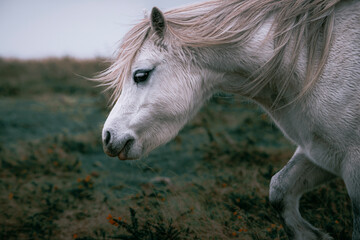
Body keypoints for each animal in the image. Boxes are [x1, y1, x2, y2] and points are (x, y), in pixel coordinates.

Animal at [98, 0, 360, 239]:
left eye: (140, 75)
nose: (108, 136)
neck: (311, 64)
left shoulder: (351, 163)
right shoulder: (318, 153)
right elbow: (279, 190)